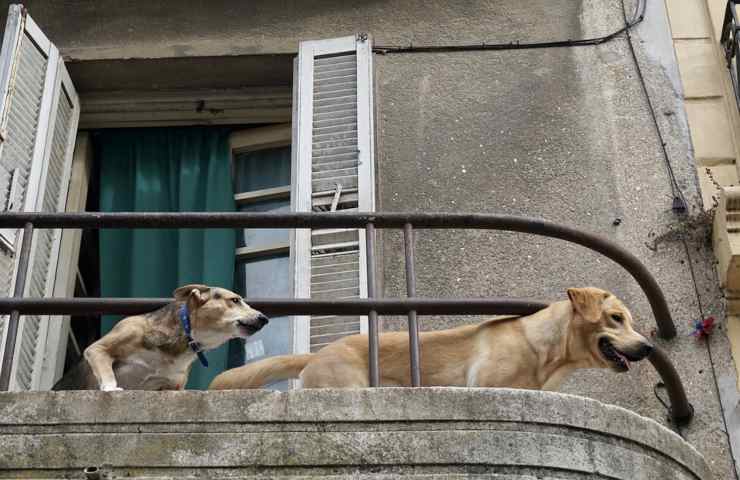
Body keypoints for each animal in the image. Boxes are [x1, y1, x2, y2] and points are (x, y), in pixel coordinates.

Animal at [54, 284, 268, 390]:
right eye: (235, 300)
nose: (264, 319)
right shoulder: (98, 349)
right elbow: (107, 372)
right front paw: (110, 388)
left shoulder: (173, 386)